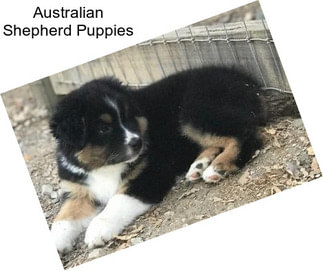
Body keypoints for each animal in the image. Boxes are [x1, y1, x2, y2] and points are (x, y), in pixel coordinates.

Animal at [48, 67, 266, 254]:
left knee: (244, 135)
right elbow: (62, 218)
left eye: (127, 117)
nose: (138, 143)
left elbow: (117, 200)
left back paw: (218, 167)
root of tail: (246, 80)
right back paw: (200, 165)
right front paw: (56, 241)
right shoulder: (77, 191)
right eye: (103, 129)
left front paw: (98, 228)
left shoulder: (149, 173)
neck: (104, 166)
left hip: (193, 112)